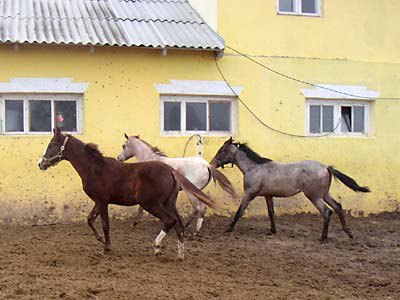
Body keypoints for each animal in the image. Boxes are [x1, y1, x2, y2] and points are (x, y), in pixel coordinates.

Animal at [38, 127, 216, 258]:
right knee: (179, 223)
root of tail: (171, 170)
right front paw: (100, 239)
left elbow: (105, 224)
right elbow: (89, 219)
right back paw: (180, 254)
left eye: (52, 145)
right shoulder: (99, 201)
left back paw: (157, 246)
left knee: (170, 220)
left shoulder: (102, 201)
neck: (95, 168)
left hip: (152, 204)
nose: (40, 163)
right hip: (169, 203)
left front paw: (107, 247)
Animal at [211, 138, 370, 241]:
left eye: (222, 150)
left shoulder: (249, 194)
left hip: (314, 196)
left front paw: (229, 228)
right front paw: (273, 231)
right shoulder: (268, 195)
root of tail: (326, 167)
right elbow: (271, 213)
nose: (212, 163)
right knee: (338, 207)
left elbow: (239, 211)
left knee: (327, 212)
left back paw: (323, 238)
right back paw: (348, 232)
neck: (254, 168)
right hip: (324, 194)